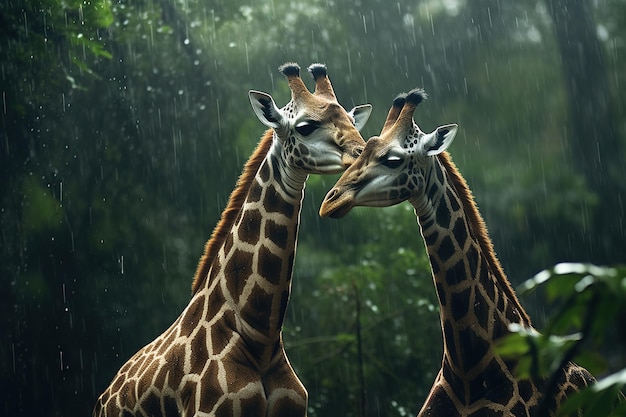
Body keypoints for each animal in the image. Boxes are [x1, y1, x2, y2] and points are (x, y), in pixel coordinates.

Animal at [94, 61, 370, 416]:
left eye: (351, 120)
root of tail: (104, 396)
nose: (364, 155)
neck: (262, 338)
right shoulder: (209, 411)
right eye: (306, 126)